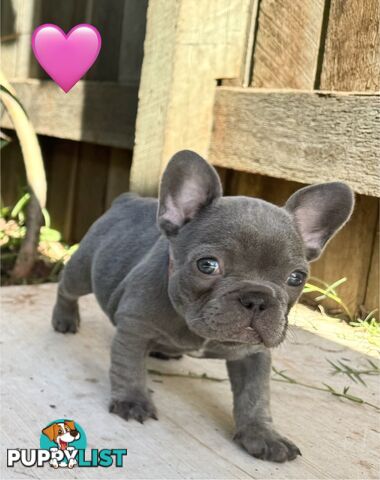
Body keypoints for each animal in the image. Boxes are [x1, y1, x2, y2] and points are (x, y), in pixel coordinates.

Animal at [52, 150, 354, 462]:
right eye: (207, 265)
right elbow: (129, 368)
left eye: (296, 277)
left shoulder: (253, 355)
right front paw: (132, 400)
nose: (257, 298)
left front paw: (262, 434)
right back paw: (65, 320)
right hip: (83, 270)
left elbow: (255, 396)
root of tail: (127, 199)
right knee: (67, 286)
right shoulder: (135, 329)